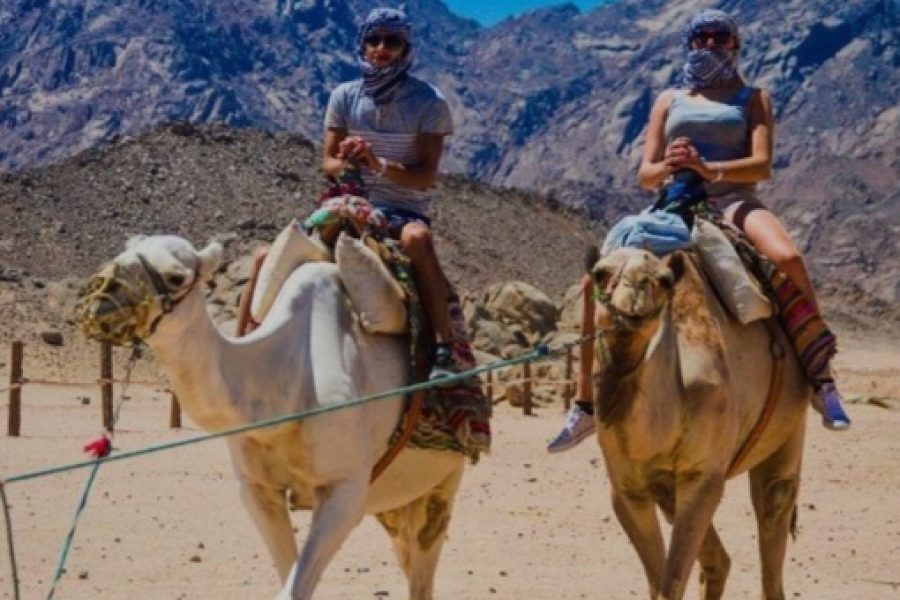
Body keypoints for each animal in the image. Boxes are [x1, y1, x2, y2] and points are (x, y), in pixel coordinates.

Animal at [76, 233, 465, 600]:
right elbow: (287, 578)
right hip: (393, 499)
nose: (99, 297)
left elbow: (293, 589)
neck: (282, 383)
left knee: (423, 565)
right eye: (121, 253)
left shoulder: (345, 486)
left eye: (176, 278)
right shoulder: (257, 489)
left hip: (442, 483)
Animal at [585, 247, 811, 600]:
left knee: (775, 500)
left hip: (790, 427)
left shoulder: (703, 476)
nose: (636, 287)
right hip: (668, 488)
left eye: (664, 280)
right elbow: (658, 582)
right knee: (719, 560)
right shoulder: (626, 488)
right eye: (599, 272)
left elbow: (672, 582)